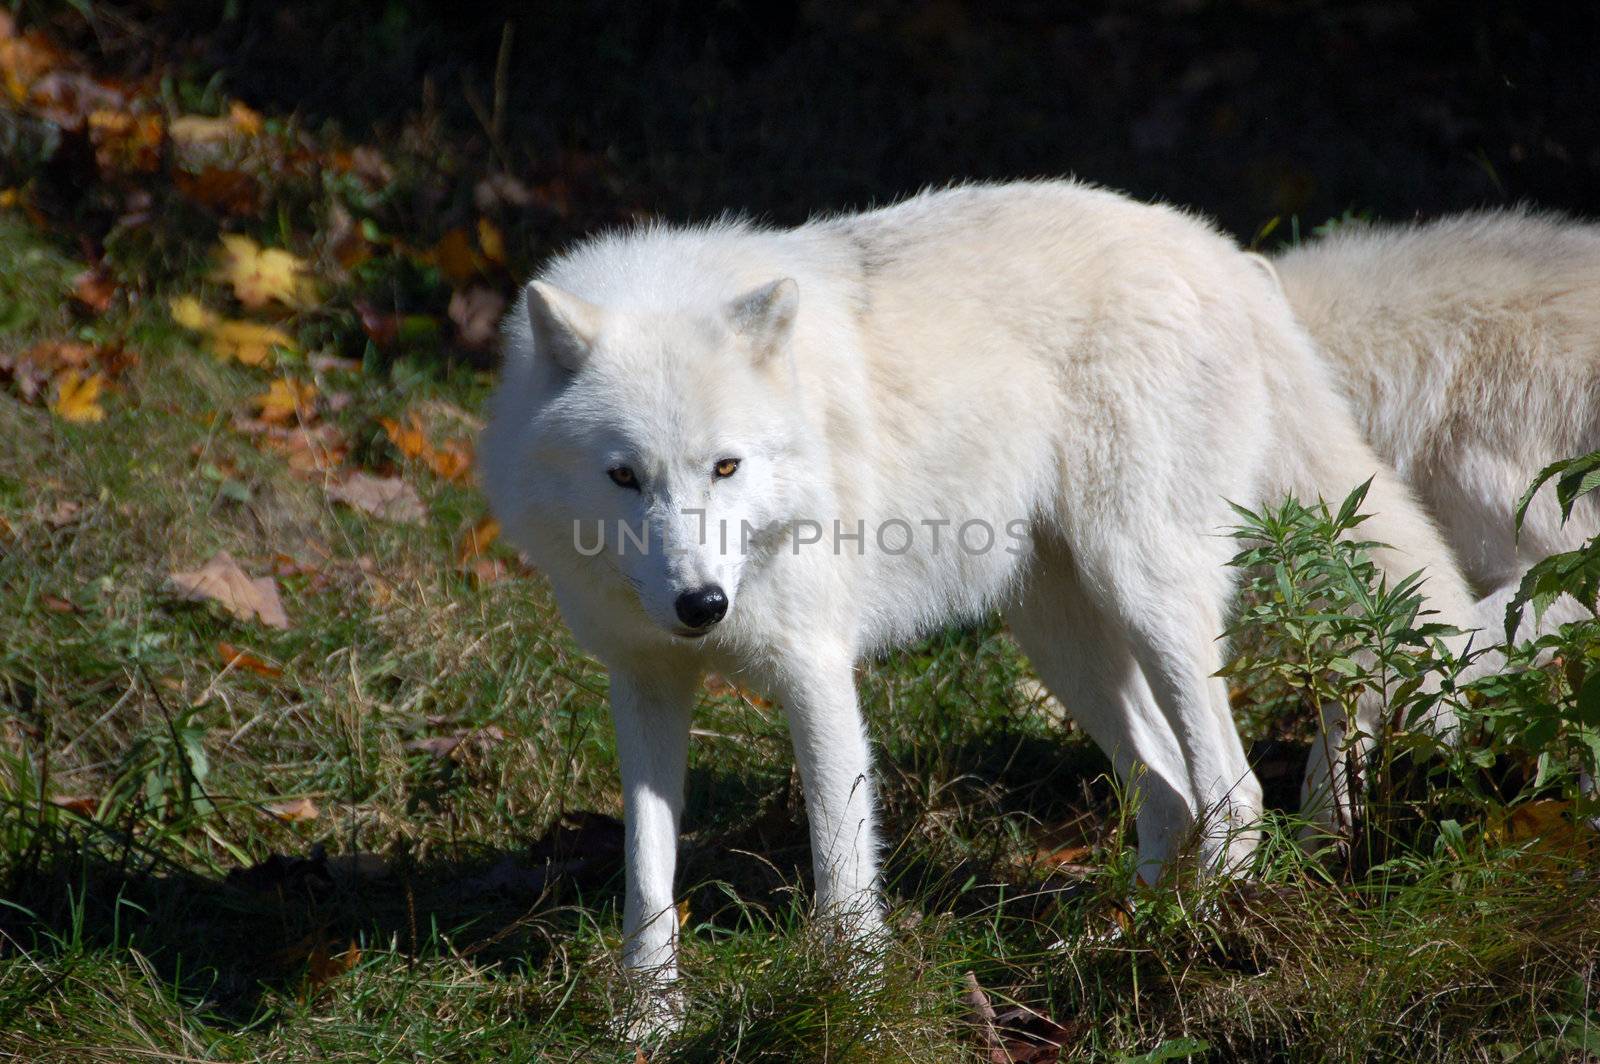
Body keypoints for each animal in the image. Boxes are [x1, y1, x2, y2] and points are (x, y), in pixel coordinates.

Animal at [473, 178, 1472, 1024]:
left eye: (725, 466)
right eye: (624, 477)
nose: (702, 605)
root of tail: (1224, 255)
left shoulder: (815, 672)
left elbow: (842, 869)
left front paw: (854, 1006)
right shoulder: (644, 683)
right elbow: (648, 871)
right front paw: (648, 1020)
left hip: (1147, 597)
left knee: (1234, 793)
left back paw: (1197, 942)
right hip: (1060, 640)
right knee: (1170, 789)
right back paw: (1121, 942)